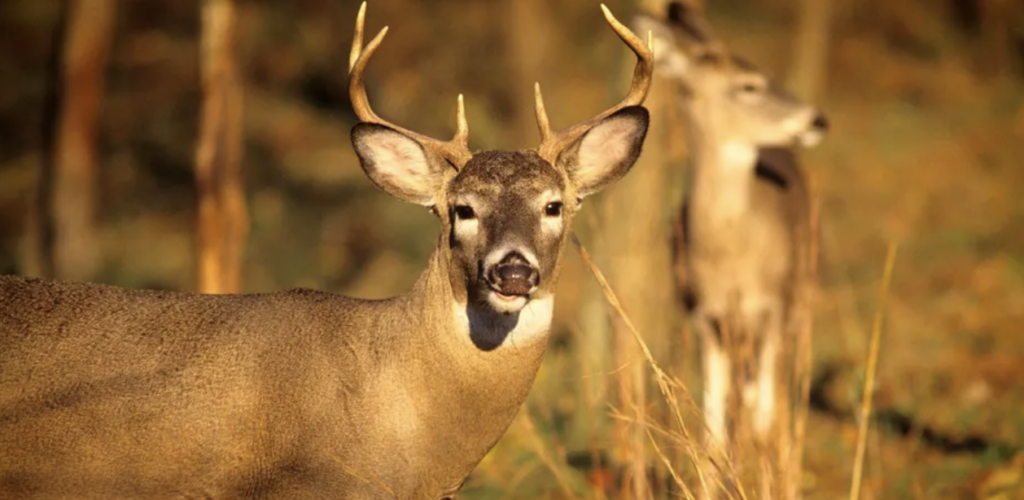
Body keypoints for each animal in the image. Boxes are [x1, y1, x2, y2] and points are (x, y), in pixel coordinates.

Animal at [634, 3, 828, 499]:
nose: (818, 119)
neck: (730, 256)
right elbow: (714, 435)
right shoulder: (707, 317)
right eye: (749, 85)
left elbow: (765, 424)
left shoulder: (773, 309)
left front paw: (771, 482)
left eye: (766, 72)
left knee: (777, 400)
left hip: (801, 296)